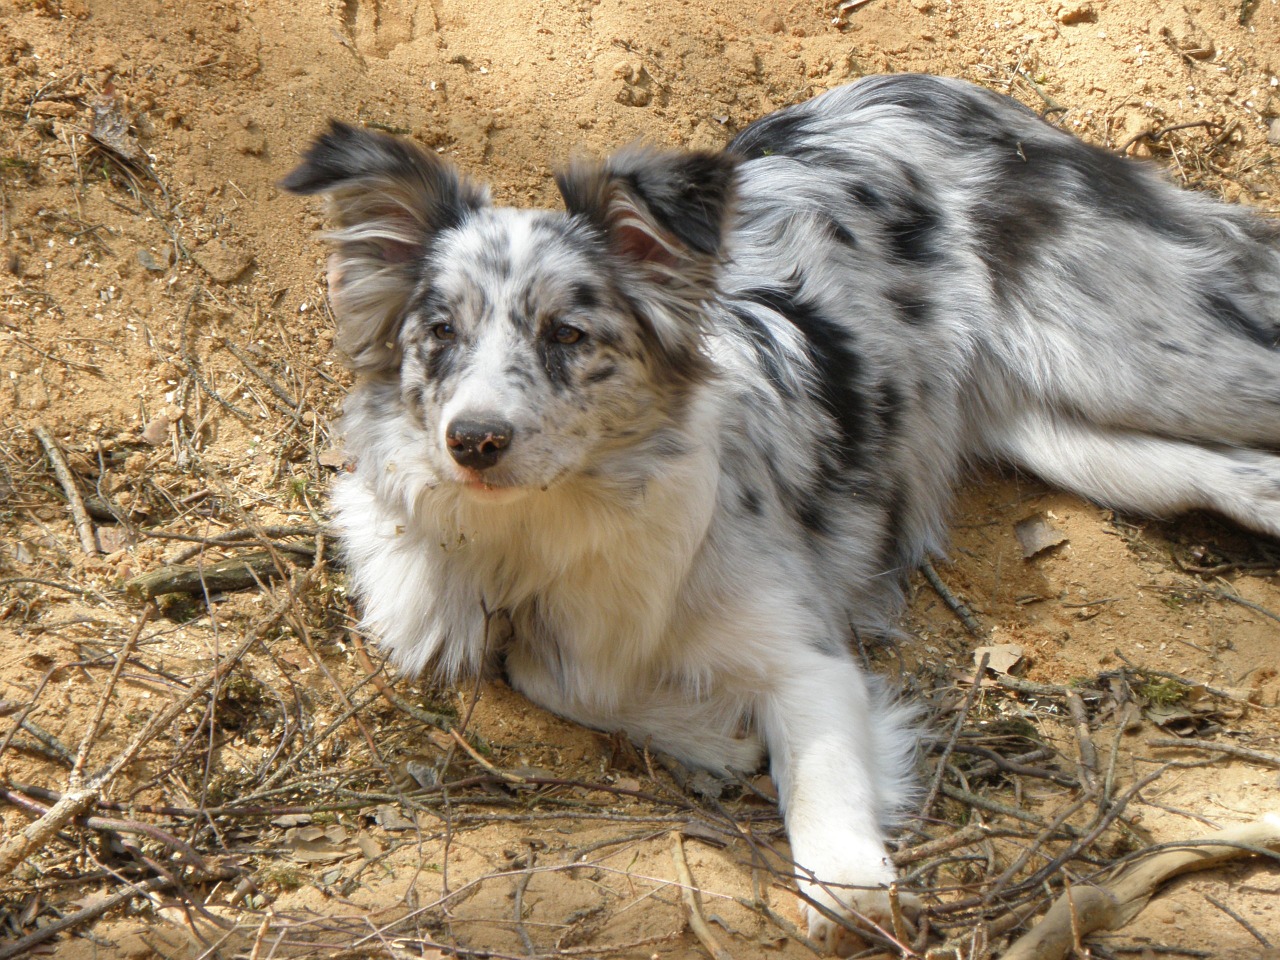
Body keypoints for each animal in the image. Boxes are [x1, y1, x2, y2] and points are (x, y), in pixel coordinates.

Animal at [288, 75, 1280, 957]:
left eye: (567, 335)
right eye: (440, 335)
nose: (474, 441)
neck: (556, 520)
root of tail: (948, 91)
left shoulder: (810, 664)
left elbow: (819, 780)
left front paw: (845, 886)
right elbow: (548, 671)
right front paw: (709, 735)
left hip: (1156, 365)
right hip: (1076, 436)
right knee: (1229, 472)